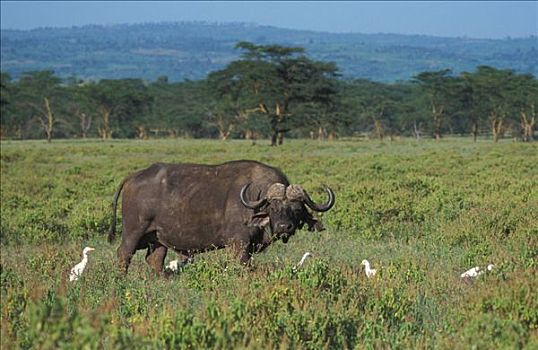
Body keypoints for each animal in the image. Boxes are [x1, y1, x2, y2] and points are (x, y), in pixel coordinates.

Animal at [107, 160, 332, 274]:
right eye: (274, 207)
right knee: (123, 255)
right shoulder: (238, 245)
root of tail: (134, 176)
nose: (285, 227)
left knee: (154, 260)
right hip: (133, 232)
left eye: (296, 209)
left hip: (158, 238)